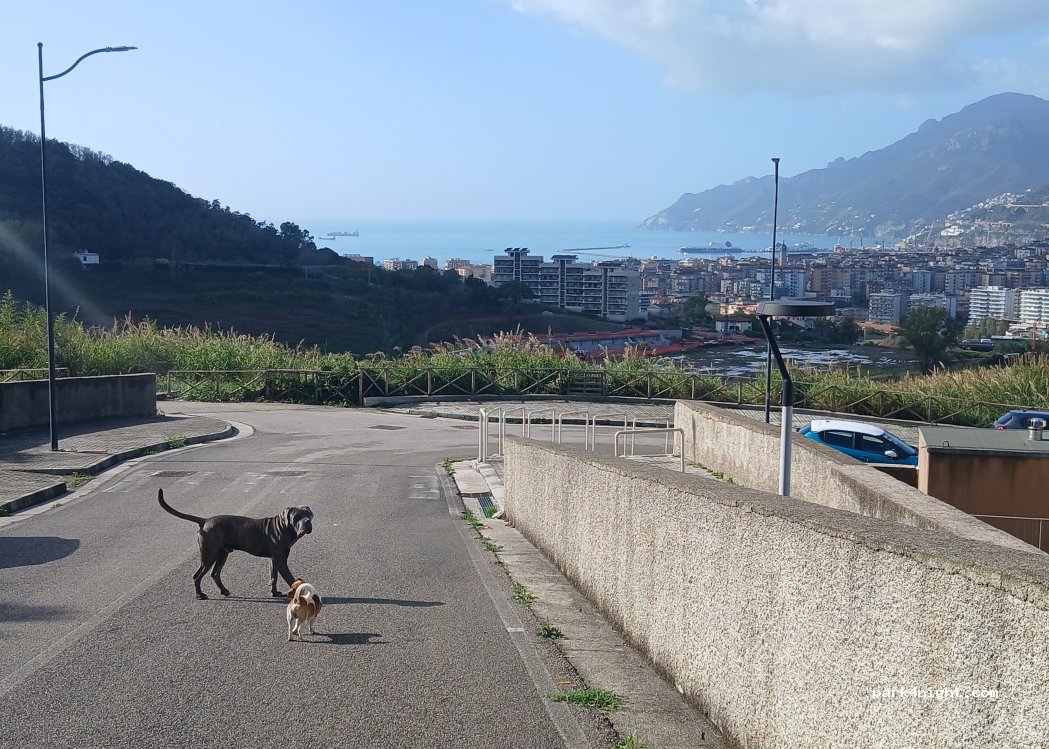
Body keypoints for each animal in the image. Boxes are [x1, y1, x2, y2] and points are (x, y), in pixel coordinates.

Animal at [157, 488, 313, 600]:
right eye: (297, 517)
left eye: (309, 514)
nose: (307, 522)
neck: (284, 527)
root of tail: (205, 521)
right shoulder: (280, 560)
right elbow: (290, 578)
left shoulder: (274, 560)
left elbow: (273, 577)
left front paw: (274, 593)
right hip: (209, 555)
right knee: (197, 575)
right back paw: (200, 595)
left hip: (222, 553)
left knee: (215, 573)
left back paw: (224, 591)